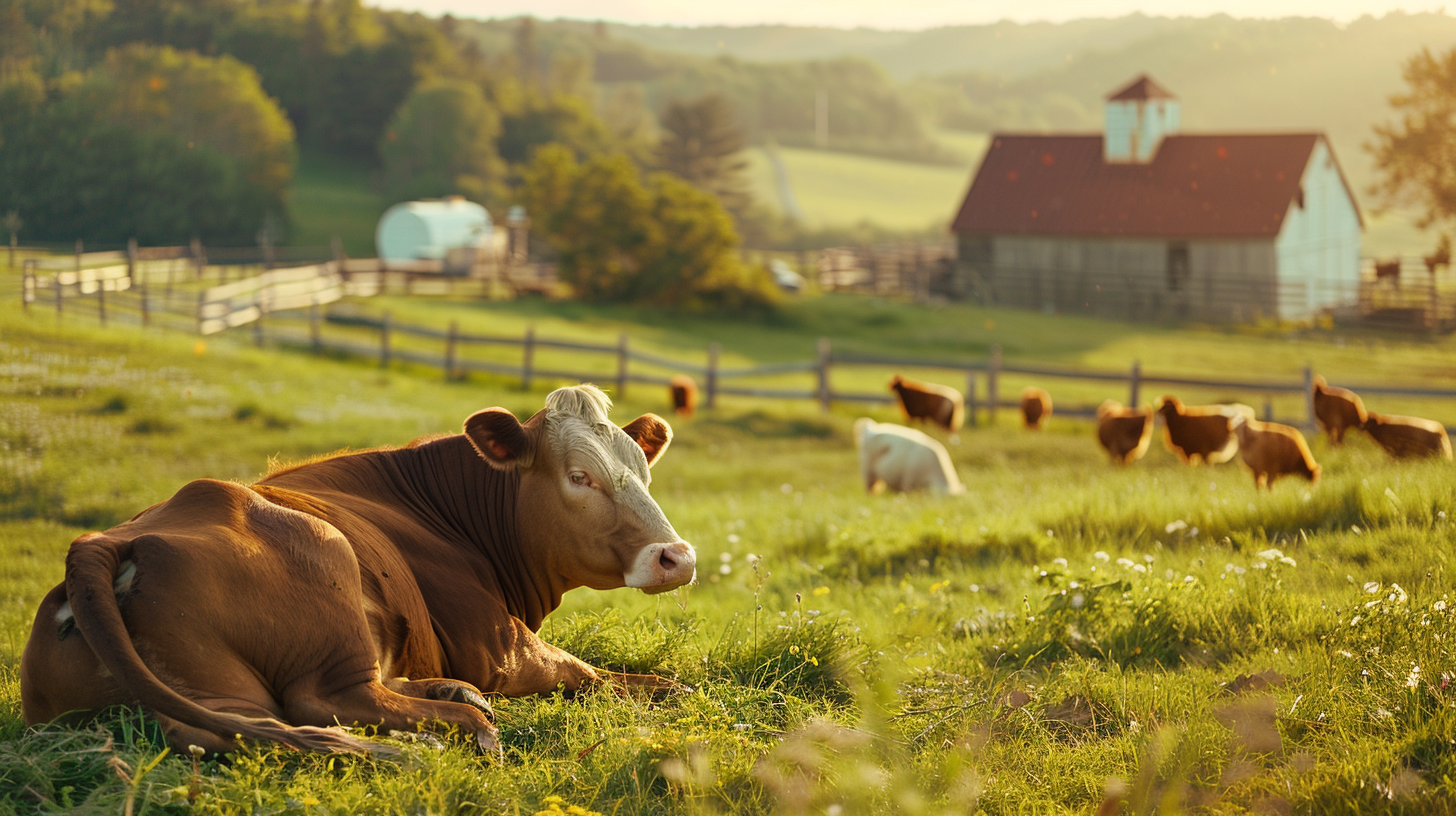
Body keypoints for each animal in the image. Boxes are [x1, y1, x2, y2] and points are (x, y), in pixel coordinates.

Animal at [21, 384, 693, 757]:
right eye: (579, 476)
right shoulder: (500, 648)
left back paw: (443, 698)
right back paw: (438, 735)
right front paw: (674, 689)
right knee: (319, 705)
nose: (677, 556)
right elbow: (600, 675)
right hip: (326, 560)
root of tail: (101, 543)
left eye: (645, 468)